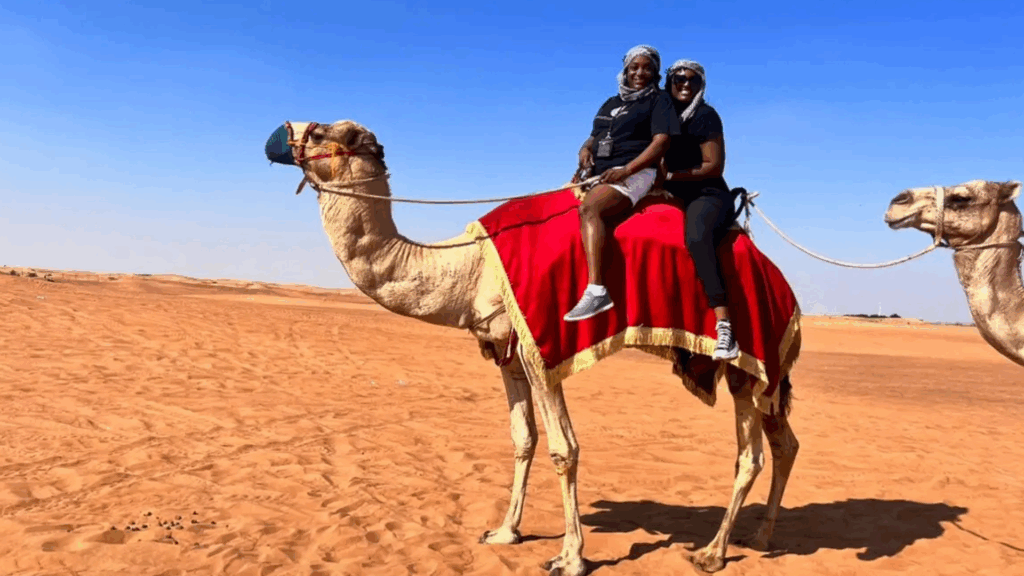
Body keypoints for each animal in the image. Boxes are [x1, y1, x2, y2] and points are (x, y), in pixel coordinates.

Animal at [263, 120, 801, 575]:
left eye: (331, 132)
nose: (279, 134)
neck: (470, 268)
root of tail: (783, 286)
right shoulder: (506, 352)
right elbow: (523, 438)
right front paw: (505, 532)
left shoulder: (541, 349)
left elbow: (565, 449)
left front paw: (570, 558)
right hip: (762, 369)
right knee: (784, 442)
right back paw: (761, 539)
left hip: (746, 357)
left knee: (749, 455)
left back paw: (712, 553)